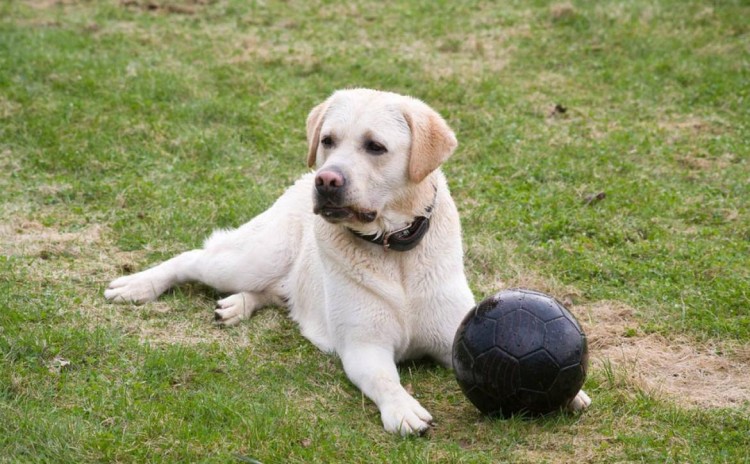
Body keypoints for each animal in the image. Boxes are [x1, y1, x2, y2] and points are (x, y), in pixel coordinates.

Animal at [104, 89, 592, 436]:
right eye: (328, 141)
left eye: (375, 146)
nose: (326, 180)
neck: (395, 251)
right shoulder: (364, 347)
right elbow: (386, 381)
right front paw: (403, 410)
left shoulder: (451, 335)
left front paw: (570, 395)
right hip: (250, 258)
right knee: (195, 257)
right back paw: (138, 285)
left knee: (279, 293)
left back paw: (238, 304)